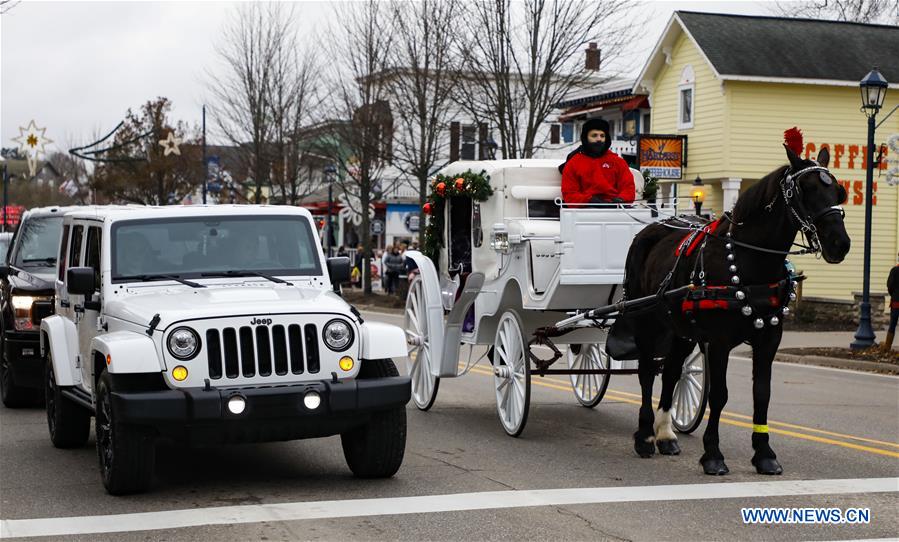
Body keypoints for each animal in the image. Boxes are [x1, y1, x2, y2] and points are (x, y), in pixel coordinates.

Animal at [624, 144, 852, 476]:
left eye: (838, 190)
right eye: (805, 189)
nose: (840, 244)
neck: (750, 261)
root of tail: (651, 229)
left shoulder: (769, 339)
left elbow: (762, 394)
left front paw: (764, 454)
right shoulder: (719, 341)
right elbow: (720, 395)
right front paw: (713, 455)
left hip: (680, 329)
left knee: (672, 372)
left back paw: (665, 434)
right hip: (645, 320)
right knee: (646, 372)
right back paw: (644, 437)